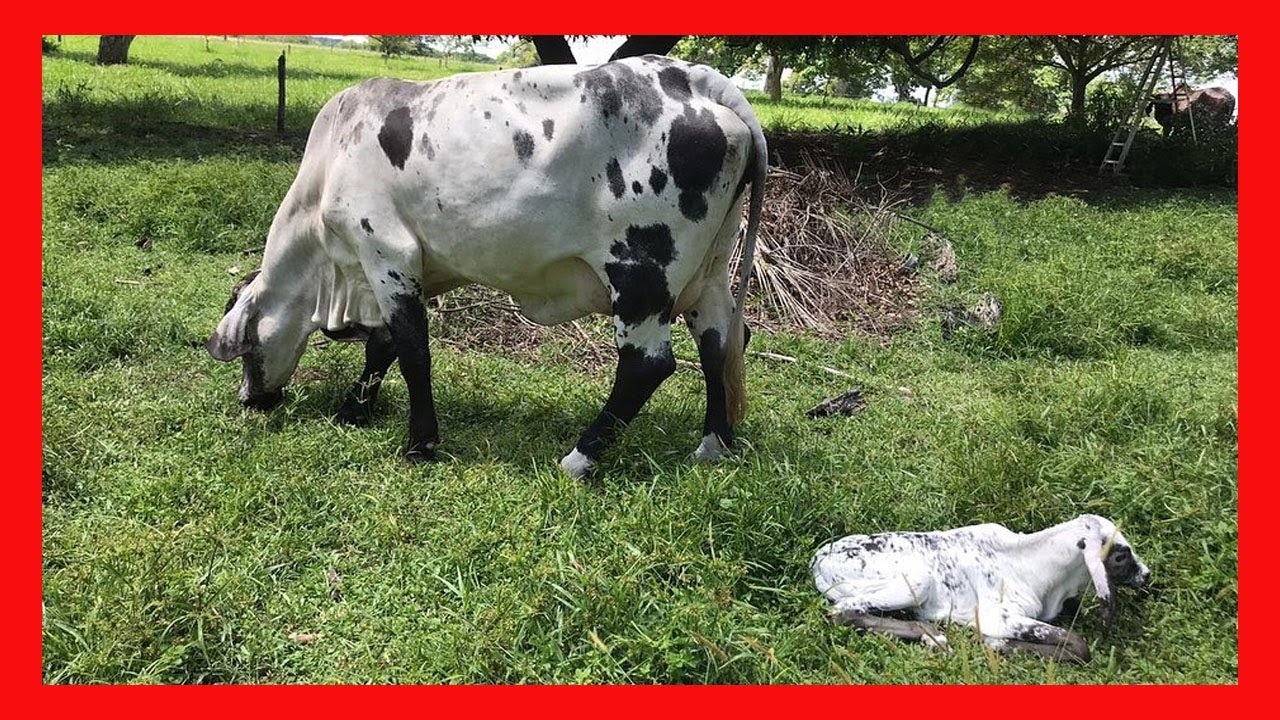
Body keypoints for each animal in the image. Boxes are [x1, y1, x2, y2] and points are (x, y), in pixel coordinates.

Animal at [206, 56, 767, 479]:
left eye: (247, 350)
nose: (248, 400)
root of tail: (693, 79)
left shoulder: (385, 253)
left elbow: (412, 352)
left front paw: (420, 443)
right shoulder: (409, 269)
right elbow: (383, 345)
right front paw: (354, 410)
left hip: (641, 275)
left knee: (647, 365)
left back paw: (578, 459)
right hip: (710, 273)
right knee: (721, 343)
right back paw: (713, 447)